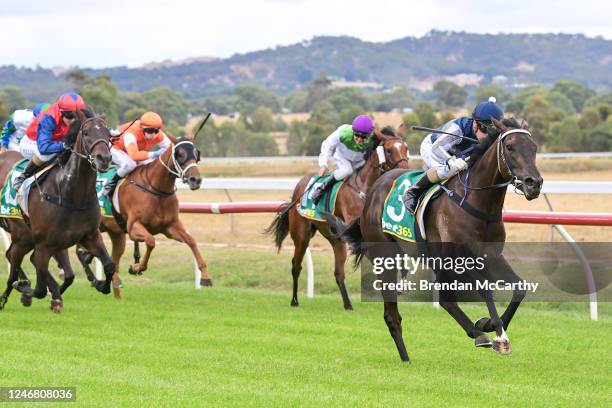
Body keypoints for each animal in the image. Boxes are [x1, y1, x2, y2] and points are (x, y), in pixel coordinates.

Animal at [0, 109, 115, 312]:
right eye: (86, 133)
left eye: (108, 135)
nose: (104, 159)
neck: (71, 193)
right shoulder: (44, 243)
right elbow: (39, 289)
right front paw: (27, 290)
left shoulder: (90, 236)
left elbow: (108, 265)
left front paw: (101, 285)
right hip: (23, 238)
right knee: (13, 264)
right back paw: (11, 293)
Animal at [75, 135, 206, 298]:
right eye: (180, 154)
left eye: (196, 153)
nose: (195, 179)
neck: (154, 188)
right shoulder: (133, 227)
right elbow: (151, 241)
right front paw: (136, 268)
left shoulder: (170, 227)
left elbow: (191, 240)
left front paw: (205, 276)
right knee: (80, 253)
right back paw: (96, 280)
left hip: (115, 234)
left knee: (111, 259)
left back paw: (114, 289)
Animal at [268, 125, 412, 310]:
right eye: (389, 150)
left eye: (406, 147)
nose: (406, 171)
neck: (364, 187)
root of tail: (299, 188)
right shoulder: (357, 229)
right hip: (301, 236)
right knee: (296, 266)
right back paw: (294, 300)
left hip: (336, 240)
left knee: (338, 273)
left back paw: (348, 304)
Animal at [328, 118, 544, 364]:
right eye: (509, 147)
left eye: (534, 148)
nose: (534, 183)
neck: (479, 204)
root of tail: (372, 193)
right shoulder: (457, 261)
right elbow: (485, 289)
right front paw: (500, 337)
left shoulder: (491, 257)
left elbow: (520, 288)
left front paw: (487, 325)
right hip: (385, 258)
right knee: (392, 315)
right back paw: (405, 357)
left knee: (446, 301)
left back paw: (477, 334)